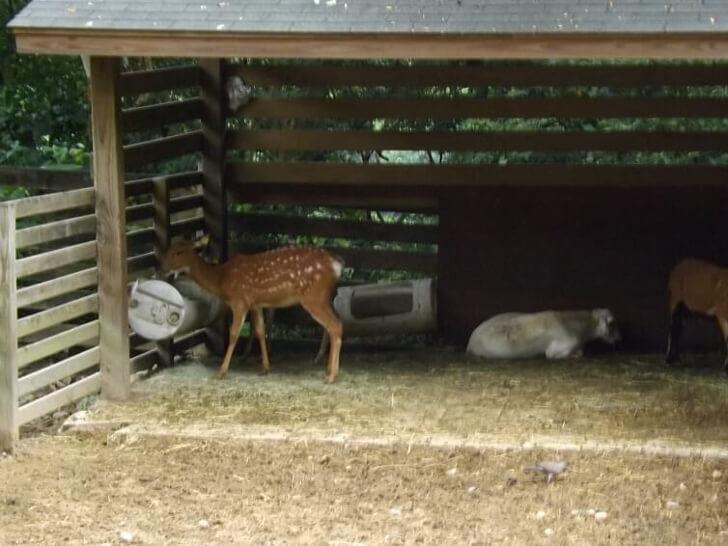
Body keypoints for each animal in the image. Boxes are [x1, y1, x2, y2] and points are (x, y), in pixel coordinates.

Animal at [164, 236, 346, 380]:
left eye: (179, 252)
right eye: (170, 249)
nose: (163, 267)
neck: (222, 279)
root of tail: (337, 265)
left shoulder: (240, 301)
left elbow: (234, 334)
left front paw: (221, 371)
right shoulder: (256, 304)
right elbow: (260, 331)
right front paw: (265, 368)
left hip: (314, 297)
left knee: (335, 325)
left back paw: (331, 376)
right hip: (325, 298)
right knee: (336, 324)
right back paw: (329, 371)